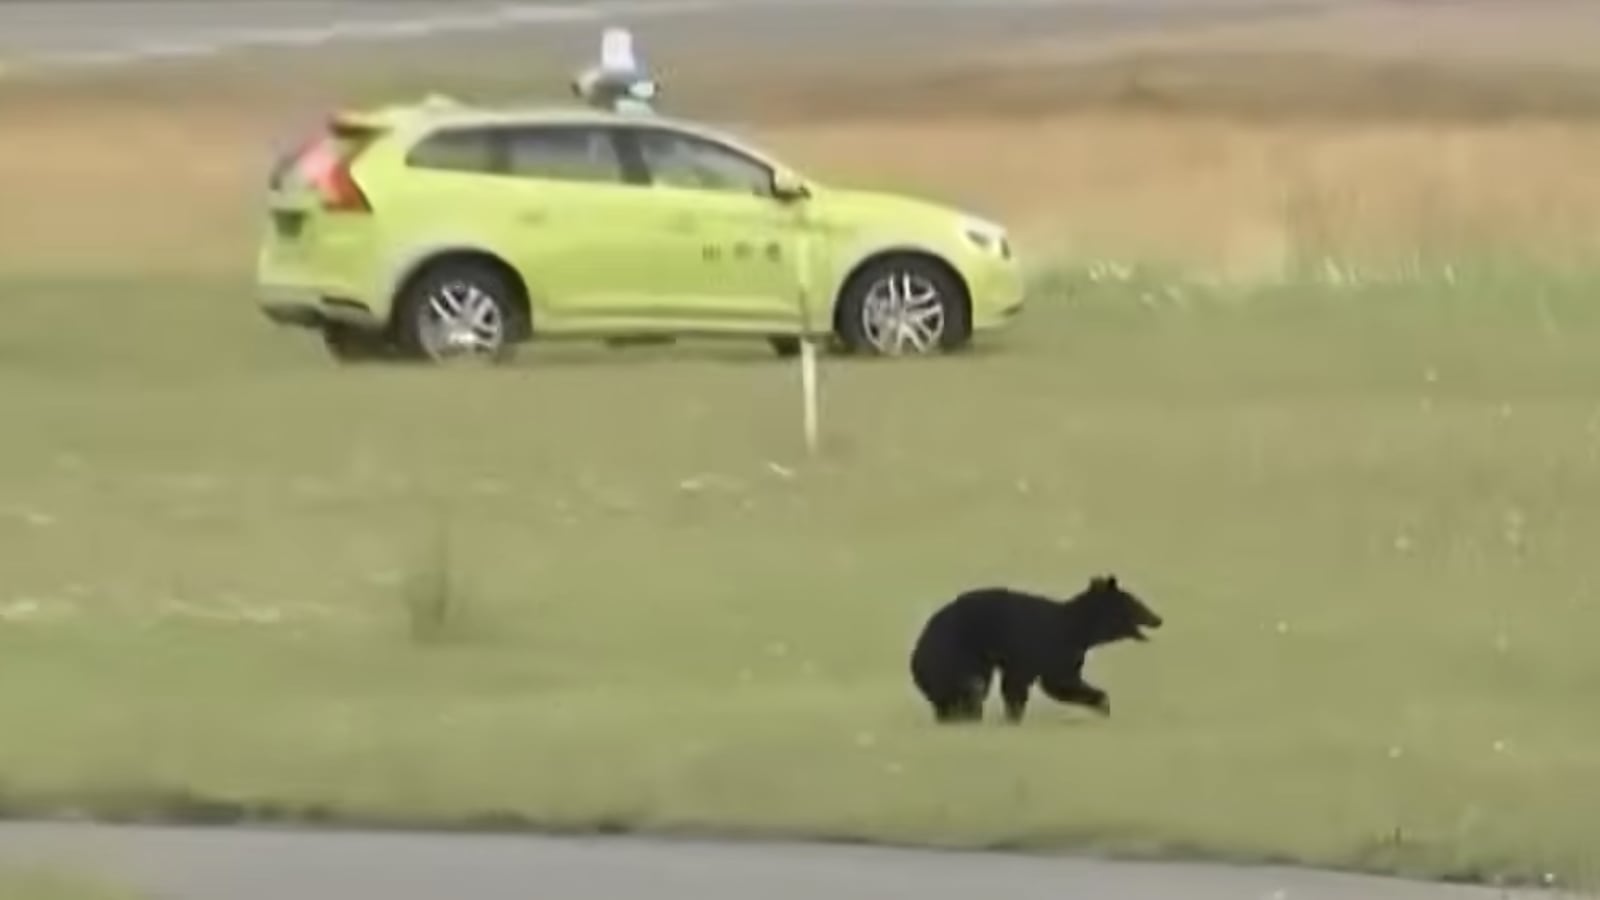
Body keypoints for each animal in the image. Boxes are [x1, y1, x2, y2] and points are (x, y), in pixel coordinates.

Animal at [907, 575, 1163, 724]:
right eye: (1136, 603)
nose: (1158, 619)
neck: (1079, 630)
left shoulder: (1062, 654)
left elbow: (1056, 683)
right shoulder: (1043, 647)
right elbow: (1055, 682)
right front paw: (1102, 702)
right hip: (956, 654)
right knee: (971, 688)